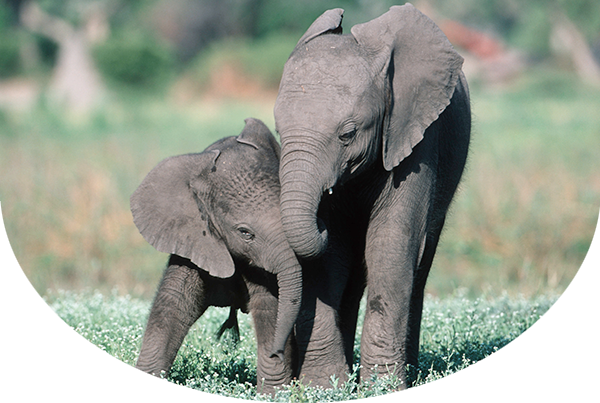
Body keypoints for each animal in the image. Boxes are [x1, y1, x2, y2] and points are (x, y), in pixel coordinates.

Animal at [274, 3, 474, 388]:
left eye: (347, 134)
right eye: (277, 130)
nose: (319, 219)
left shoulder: (418, 139)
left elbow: (391, 244)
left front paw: (383, 388)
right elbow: (330, 258)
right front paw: (324, 386)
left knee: (418, 266)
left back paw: (410, 373)